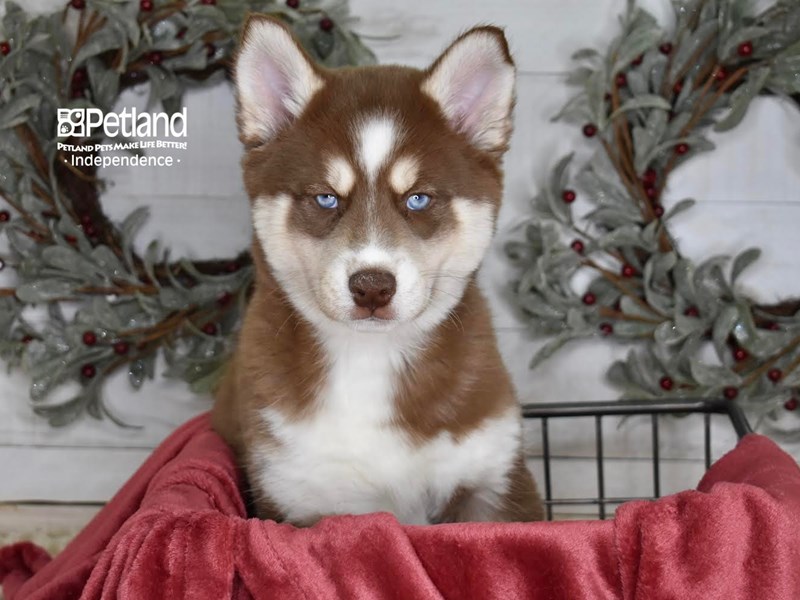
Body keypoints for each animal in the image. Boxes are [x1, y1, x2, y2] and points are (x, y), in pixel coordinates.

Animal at [214, 15, 544, 524]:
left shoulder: (493, 480)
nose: (372, 286)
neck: (370, 359)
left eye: (418, 198)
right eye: (326, 197)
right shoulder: (296, 498)